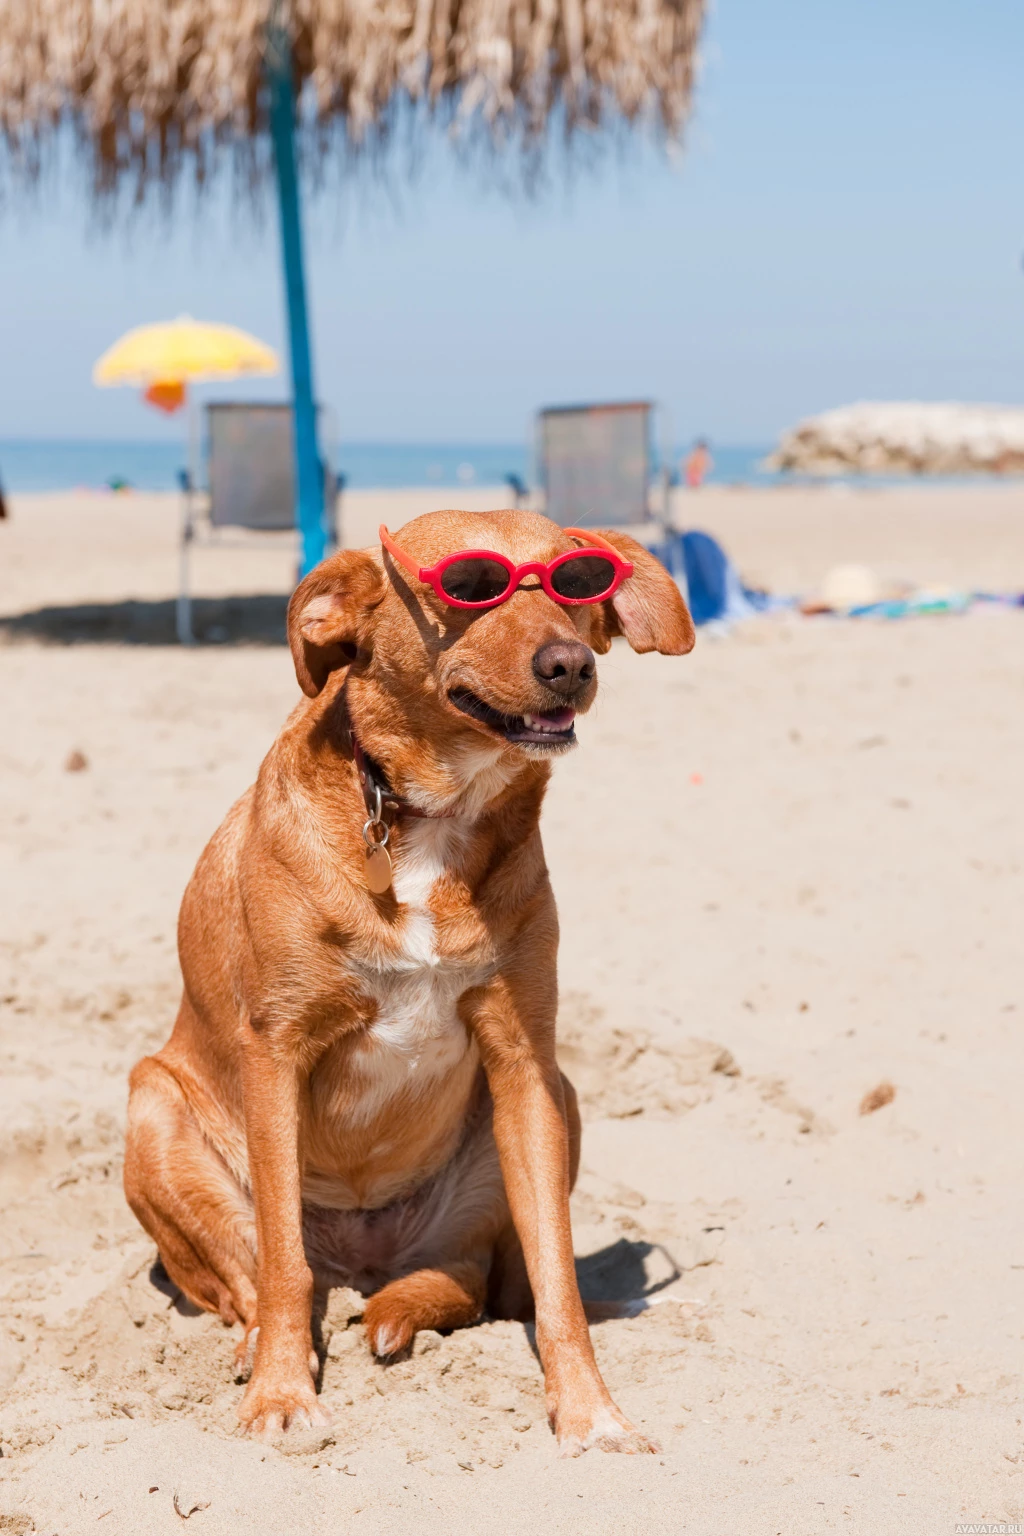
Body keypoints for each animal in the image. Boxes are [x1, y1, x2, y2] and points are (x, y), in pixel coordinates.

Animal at [122, 506, 696, 1449]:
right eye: (469, 586)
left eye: (578, 582)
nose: (569, 666)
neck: (431, 816)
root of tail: (366, 1262)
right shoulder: (276, 1051)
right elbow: (281, 1264)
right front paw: (281, 1394)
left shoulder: (523, 1062)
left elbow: (557, 1277)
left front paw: (590, 1412)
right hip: (153, 1102)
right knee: (255, 1280)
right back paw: (257, 1345)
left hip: (554, 1106)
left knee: (468, 1280)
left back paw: (404, 1307)